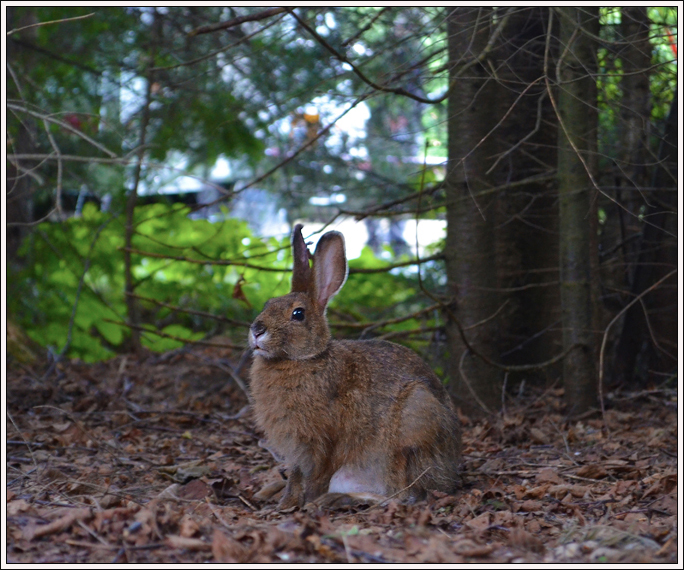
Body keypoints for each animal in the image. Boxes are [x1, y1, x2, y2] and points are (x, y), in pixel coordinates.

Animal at [248, 222, 462, 506]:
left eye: (298, 314)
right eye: (267, 304)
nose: (257, 330)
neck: (304, 359)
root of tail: (450, 473)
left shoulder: (320, 440)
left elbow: (313, 474)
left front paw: (299, 503)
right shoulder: (297, 448)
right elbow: (295, 474)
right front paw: (286, 502)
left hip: (414, 422)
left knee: (405, 494)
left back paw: (333, 499)